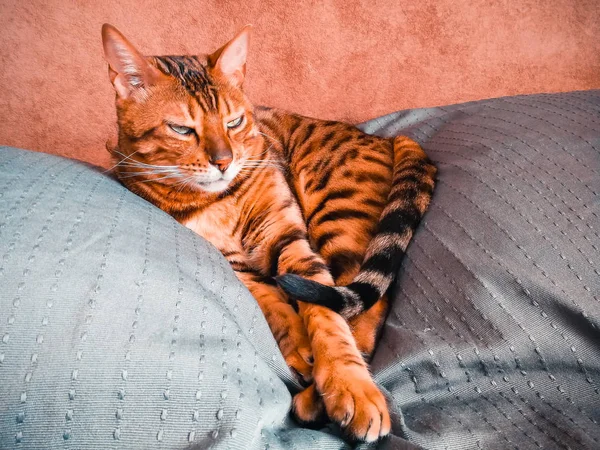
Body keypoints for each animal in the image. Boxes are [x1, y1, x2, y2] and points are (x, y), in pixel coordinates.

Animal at [101, 22, 434, 442]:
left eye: (234, 122)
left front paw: (350, 386)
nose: (224, 161)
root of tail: (388, 137)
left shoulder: (287, 237)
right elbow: (274, 306)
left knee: (365, 300)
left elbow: (328, 320)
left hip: (336, 211)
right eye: (181, 129)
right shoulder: (235, 266)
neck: (219, 200)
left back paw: (315, 398)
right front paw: (299, 347)